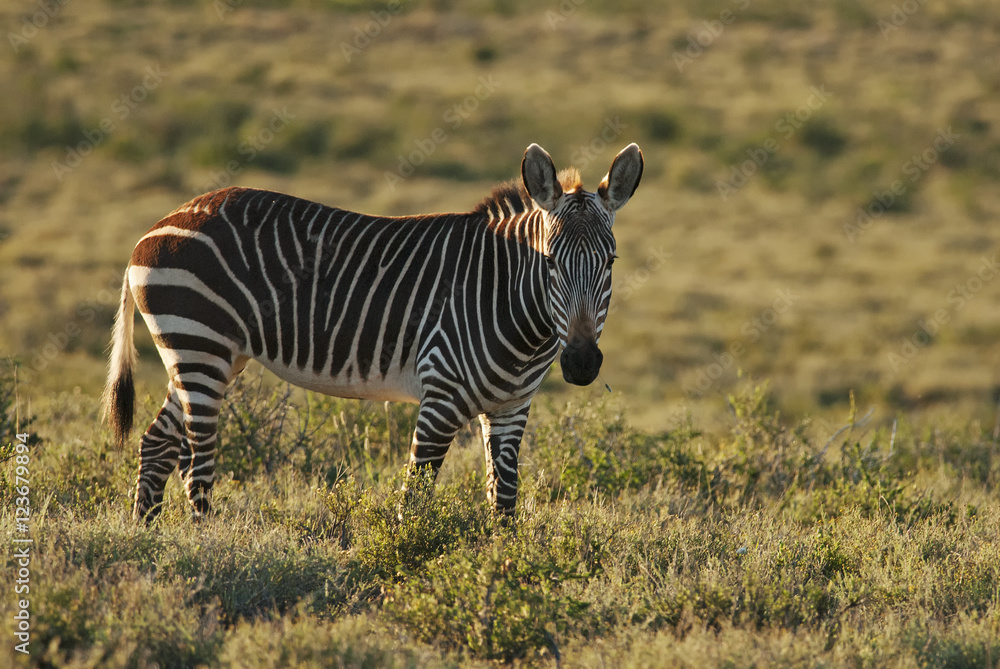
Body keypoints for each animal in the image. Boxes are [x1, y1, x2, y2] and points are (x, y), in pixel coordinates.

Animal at [103, 142, 643, 523]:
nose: (581, 363)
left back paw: (149, 540)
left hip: (207, 356)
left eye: (611, 262)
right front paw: (408, 565)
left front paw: (503, 568)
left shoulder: (511, 408)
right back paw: (205, 542)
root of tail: (153, 228)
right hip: (200, 346)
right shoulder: (441, 396)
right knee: (196, 460)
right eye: (550, 262)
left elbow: (504, 501)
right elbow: (415, 497)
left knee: (157, 443)